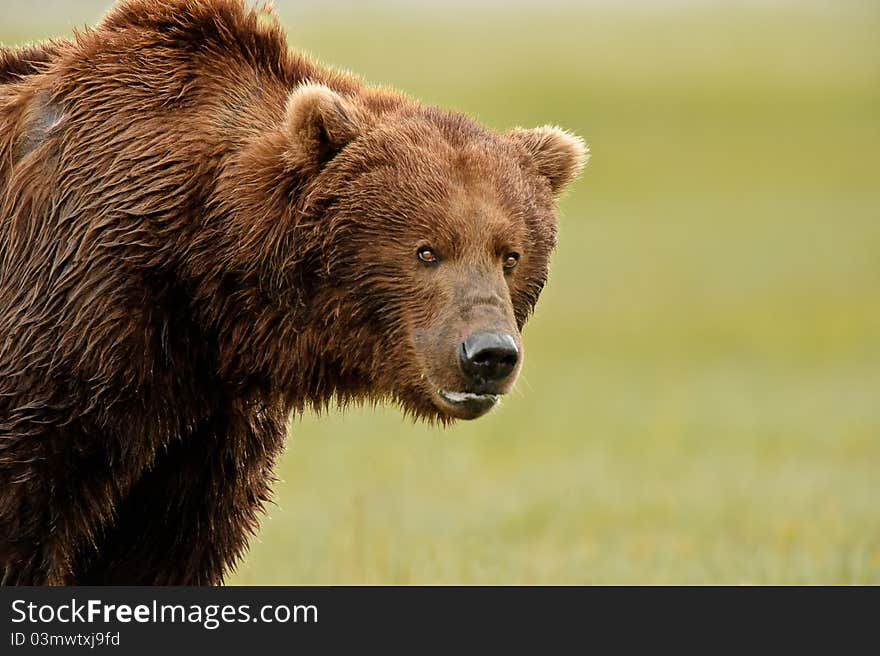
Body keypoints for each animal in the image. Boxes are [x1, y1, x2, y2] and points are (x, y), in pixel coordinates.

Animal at [1, 0, 592, 584]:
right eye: (427, 251)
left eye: (509, 255)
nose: (489, 353)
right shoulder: (72, 318)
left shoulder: (207, 425)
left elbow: (163, 550)